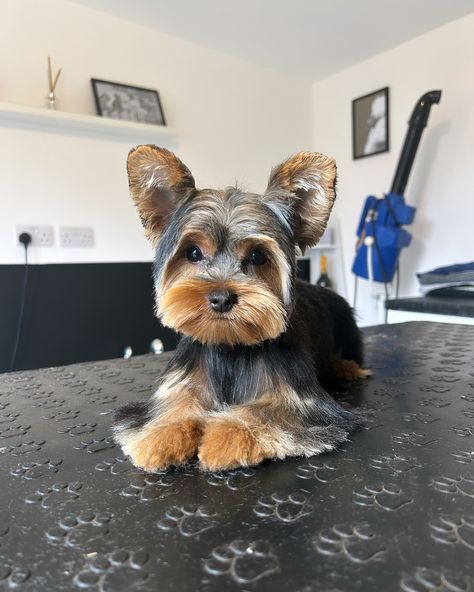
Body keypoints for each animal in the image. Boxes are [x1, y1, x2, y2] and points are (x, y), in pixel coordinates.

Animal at [113, 147, 368, 472]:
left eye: (258, 256)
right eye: (193, 252)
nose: (221, 298)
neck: (230, 346)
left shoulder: (304, 403)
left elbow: (269, 409)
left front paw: (228, 436)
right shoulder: (182, 380)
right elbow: (175, 403)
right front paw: (164, 434)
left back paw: (345, 366)